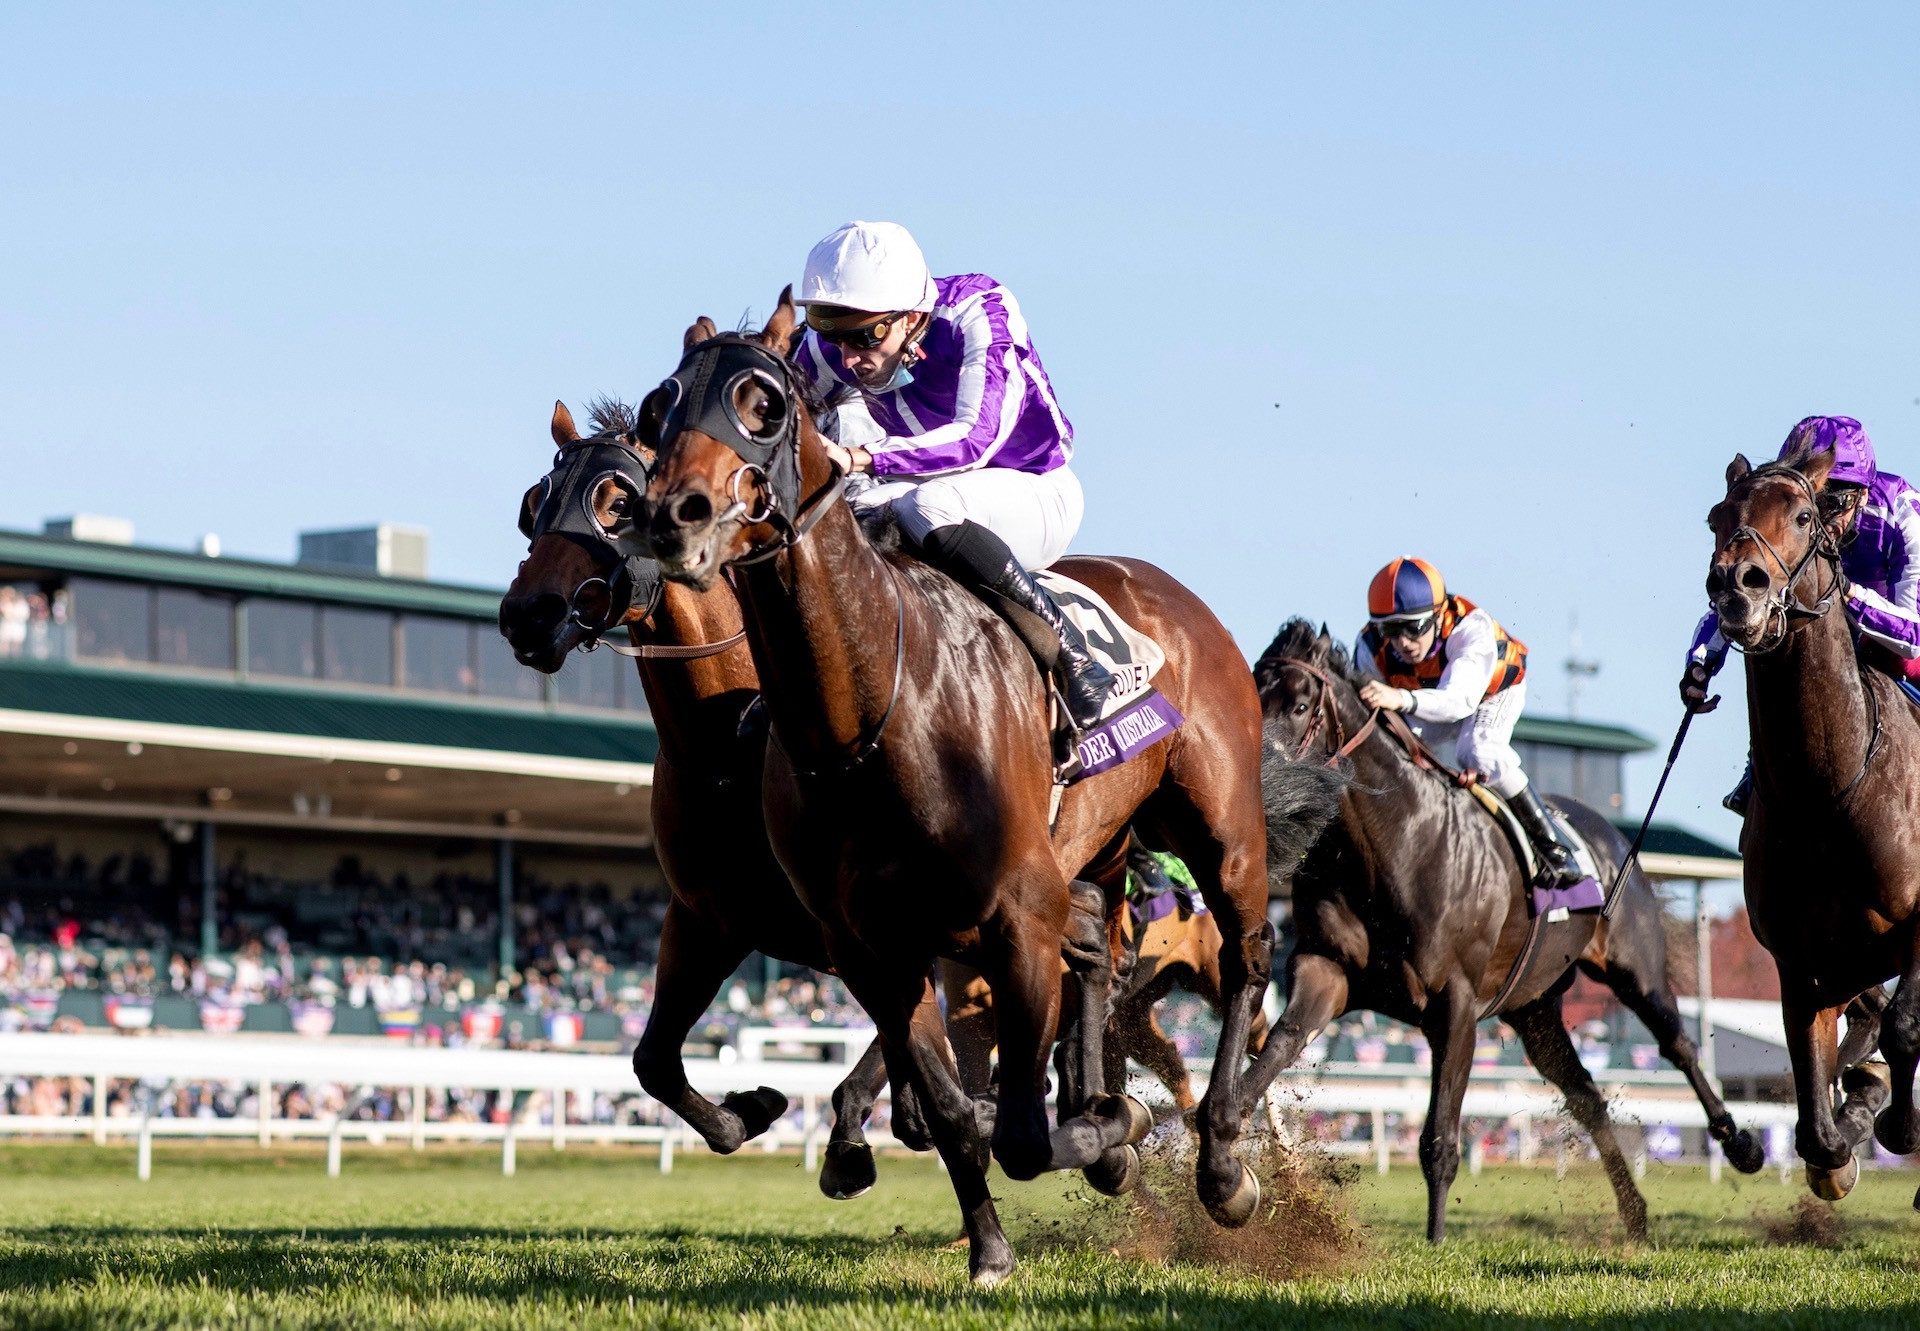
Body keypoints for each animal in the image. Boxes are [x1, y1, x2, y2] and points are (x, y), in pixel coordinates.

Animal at [637, 293, 1328, 1290]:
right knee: (1102, 959)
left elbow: (1024, 1133)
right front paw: (995, 1241)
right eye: (660, 409)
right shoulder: (873, 950)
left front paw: (1114, 1130)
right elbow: (957, 1111)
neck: (867, 719)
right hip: (1099, 851)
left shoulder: (1013, 921)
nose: (673, 517)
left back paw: (1224, 1162)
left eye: (761, 401)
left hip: (1222, 828)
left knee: (1246, 958)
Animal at [1251, 618, 1758, 1244]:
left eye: (1300, 705)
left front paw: (1436, 1242)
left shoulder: (1456, 1004)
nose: (1258, 787)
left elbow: (1439, 1138)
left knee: (1678, 1045)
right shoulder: (1328, 969)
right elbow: (1277, 1046)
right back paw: (1635, 1214)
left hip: (1634, 969)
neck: (1392, 844)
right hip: (1534, 1007)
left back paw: (1740, 1144)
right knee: (1586, 1096)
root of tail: (1612, 835)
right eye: (1252, 693)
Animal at [1712, 445, 1920, 1206]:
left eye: (1804, 514)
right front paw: (1845, 1133)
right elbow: (1814, 1098)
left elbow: (1904, 1026)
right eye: (1718, 516)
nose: (1735, 584)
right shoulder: (1799, 955)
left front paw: (1897, 1125)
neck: (1826, 794)